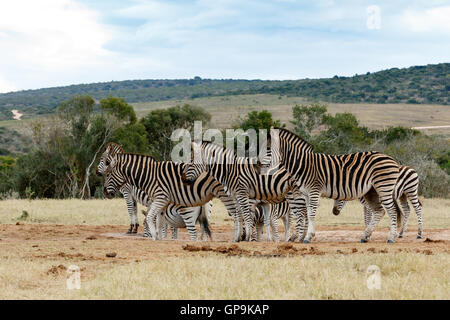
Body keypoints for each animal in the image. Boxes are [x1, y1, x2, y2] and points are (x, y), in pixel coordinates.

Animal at [102, 152, 243, 240]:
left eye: (108, 174)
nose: (104, 192)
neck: (148, 176)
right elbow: (162, 222)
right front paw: (161, 237)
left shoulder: (154, 197)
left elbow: (148, 216)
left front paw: (151, 234)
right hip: (208, 208)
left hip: (226, 195)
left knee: (237, 215)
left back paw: (238, 237)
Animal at [268, 127, 402, 242]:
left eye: (268, 148)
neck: (303, 164)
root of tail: (391, 159)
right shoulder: (306, 194)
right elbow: (308, 213)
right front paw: (305, 236)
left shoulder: (314, 190)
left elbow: (311, 213)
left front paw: (307, 237)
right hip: (371, 191)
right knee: (379, 211)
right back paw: (365, 236)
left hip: (384, 186)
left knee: (392, 210)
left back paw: (391, 238)